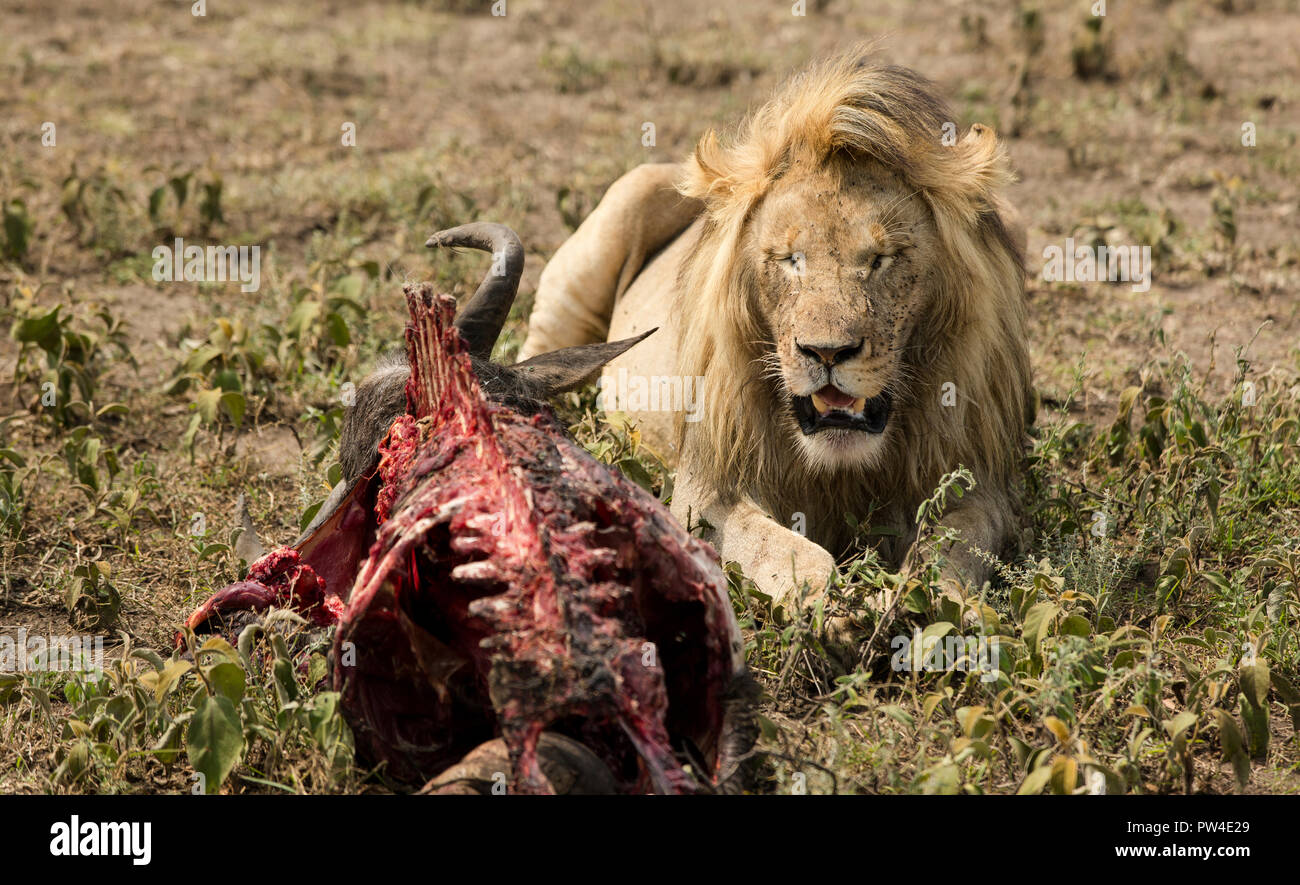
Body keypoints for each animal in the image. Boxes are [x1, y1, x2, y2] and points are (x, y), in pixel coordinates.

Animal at [519, 48, 1034, 622]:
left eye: (881, 259)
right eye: (790, 260)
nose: (827, 353)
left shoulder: (980, 486)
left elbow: (947, 552)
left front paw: (925, 607)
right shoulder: (706, 491)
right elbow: (784, 549)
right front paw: (829, 608)